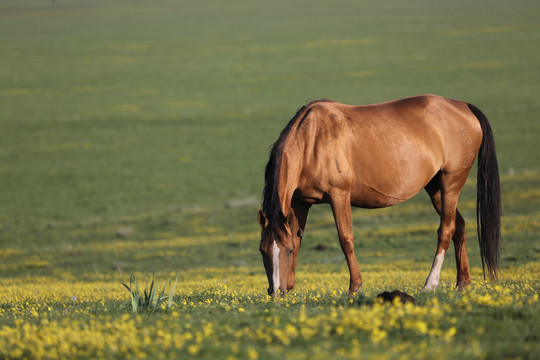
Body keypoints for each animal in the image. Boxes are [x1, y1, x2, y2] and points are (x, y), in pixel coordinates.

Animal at [258, 95, 502, 296]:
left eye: (286, 251)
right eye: (262, 251)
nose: (275, 292)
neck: (313, 139)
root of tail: (464, 107)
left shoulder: (339, 196)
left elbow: (346, 239)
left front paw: (355, 286)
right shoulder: (301, 202)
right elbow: (298, 238)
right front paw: (290, 287)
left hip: (451, 183)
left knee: (446, 229)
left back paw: (430, 284)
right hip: (435, 189)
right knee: (459, 225)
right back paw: (463, 283)